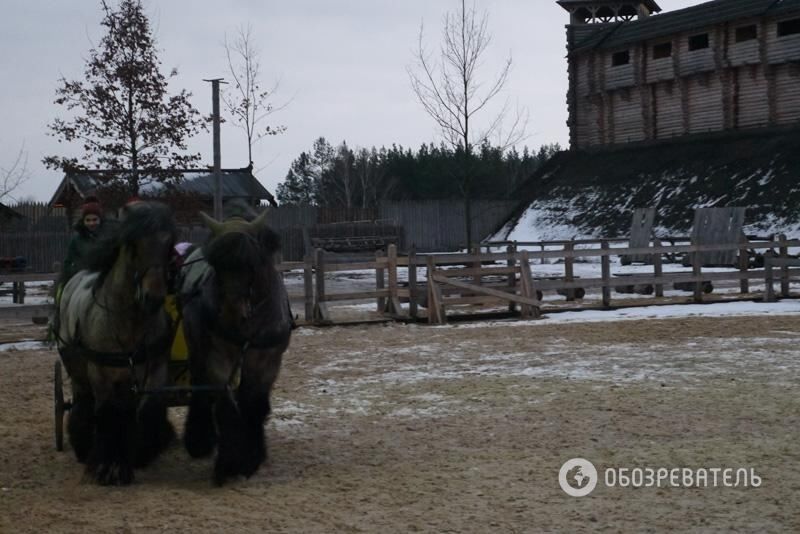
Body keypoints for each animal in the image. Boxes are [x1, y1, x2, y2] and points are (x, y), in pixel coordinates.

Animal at [57, 203, 178, 488]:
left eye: (169, 244)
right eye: (132, 245)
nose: (153, 297)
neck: (129, 322)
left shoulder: (153, 370)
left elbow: (144, 410)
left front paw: (138, 453)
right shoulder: (100, 375)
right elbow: (107, 414)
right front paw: (106, 467)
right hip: (78, 369)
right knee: (84, 403)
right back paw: (84, 447)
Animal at [180, 207, 292, 488]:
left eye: (251, 264)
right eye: (216, 266)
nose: (231, 315)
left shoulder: (266, 360)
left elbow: (253, 403)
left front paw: (251, 458)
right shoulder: (217, 356)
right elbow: (224, 401)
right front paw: (229, 463)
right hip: (195, 346)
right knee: (200, 386)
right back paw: (199, 439)